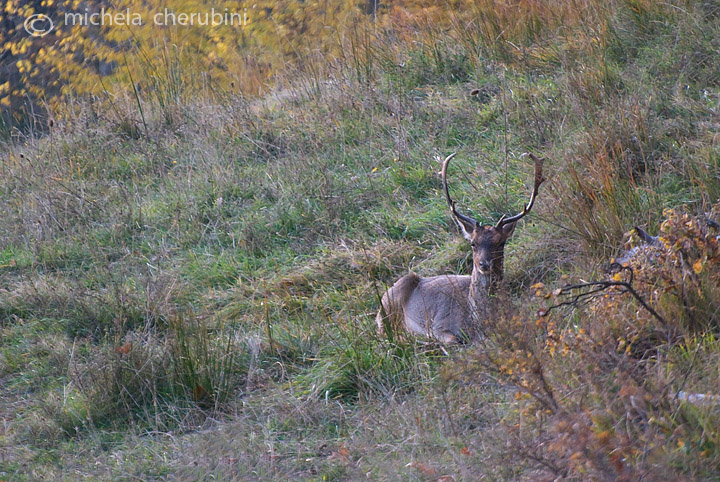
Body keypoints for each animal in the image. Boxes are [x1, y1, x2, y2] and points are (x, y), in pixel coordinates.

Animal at [380, 152, 544, 342]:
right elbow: (453, 340)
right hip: (388, 306)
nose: (484, 264)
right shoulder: (438, 326)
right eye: (473, 243)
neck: (477, 322)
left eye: (501, 242)